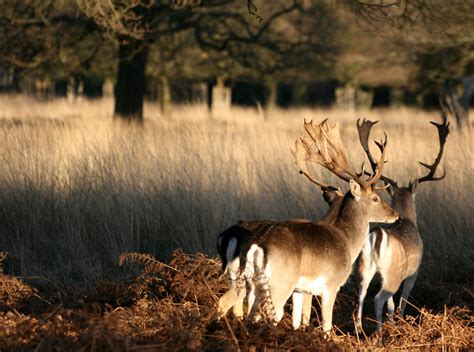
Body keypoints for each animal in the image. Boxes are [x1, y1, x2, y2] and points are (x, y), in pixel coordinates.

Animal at [234, 118, 400, 332]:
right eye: (375, 198)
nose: (395, 214)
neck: (347, 241)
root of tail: (257, 246)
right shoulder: (331, 284)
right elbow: (327, 325)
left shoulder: (301, 290)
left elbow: (298, 320)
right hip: (280, 283)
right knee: (266, 315)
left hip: (252, 284)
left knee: (249, 314)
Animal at [356, 116, 452, 332]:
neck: (408, 221)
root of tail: (378, 236)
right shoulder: (412, 273)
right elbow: (402, 303)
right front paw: (399, 323)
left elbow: (392, 306)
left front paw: (393, 323)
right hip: (393, 274)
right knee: (378, 298)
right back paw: (379, 333)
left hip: (365, 268)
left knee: (361, 296)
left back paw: (359, 331)